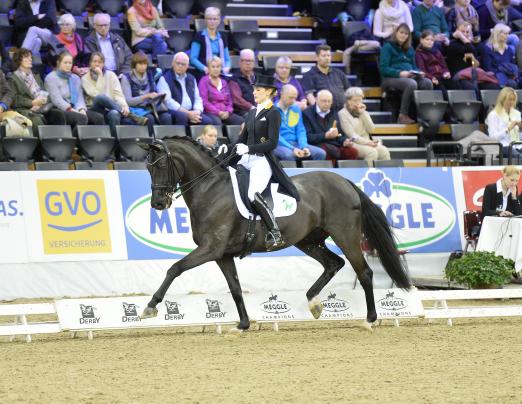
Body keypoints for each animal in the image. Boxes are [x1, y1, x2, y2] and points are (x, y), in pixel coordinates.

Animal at [139, 137, 410, 330]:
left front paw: (150, 307)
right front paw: (243, 325)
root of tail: (345, 182)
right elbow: (235, 288)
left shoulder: (210, 249)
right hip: (308, 240)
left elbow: (175, 268)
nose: (158, 204)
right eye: (147, 168)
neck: (210, 189)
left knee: (364, 272)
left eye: (161, 165)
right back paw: (313, 302)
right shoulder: (222, 255)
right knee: (334, 264)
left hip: (345, 235)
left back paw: (369, 320)